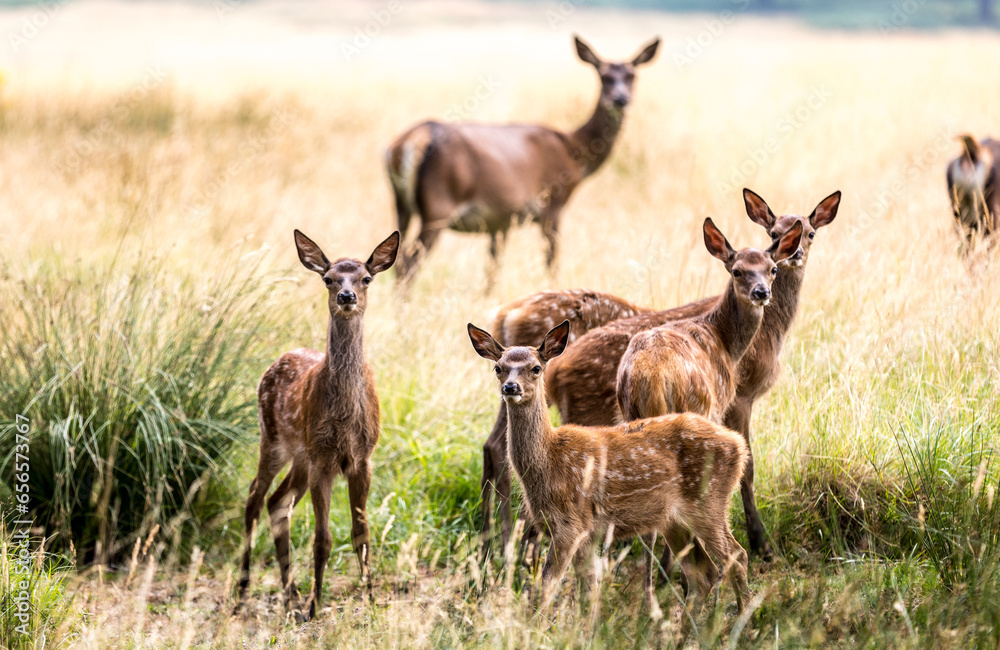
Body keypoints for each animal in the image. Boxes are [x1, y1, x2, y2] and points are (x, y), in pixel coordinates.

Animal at [237, 229, 399, 620]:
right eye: (328, 278)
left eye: (366, 278)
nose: (346, 296)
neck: (345, 415)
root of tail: (277, 360)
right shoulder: (323, 461)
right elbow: (322, 539)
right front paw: (314, 606)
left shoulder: (362, 458)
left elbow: (362, 533)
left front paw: (370, 599)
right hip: (274, 439)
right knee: (254, 497)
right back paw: (245, 589)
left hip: (301, 454)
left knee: (277, 503)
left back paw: (289, 593)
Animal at [386, 35, 660, 285]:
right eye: (604, 76)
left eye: (632, 76)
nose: (620, 99)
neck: (574, 153)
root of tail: (411, 140)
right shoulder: (553, 204)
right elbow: (551, 262)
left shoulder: (499, 220)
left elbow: (492, 271)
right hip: (439, 204)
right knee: (409, 264)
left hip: (401, 206)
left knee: (398, 261)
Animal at [468, 321, 750, 627]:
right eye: (499, 367)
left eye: (536, 367)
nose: (511, 387)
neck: (549, 462)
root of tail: (739, 446)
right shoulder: (585, 532)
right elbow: (587, 588)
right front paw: (586, 628)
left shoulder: (570, 524)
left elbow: (548, 585)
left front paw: (536, 628)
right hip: (674, 520)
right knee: (703, 572)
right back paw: (685, 630)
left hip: (709, 502)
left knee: (737, 556)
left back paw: (743, 620)